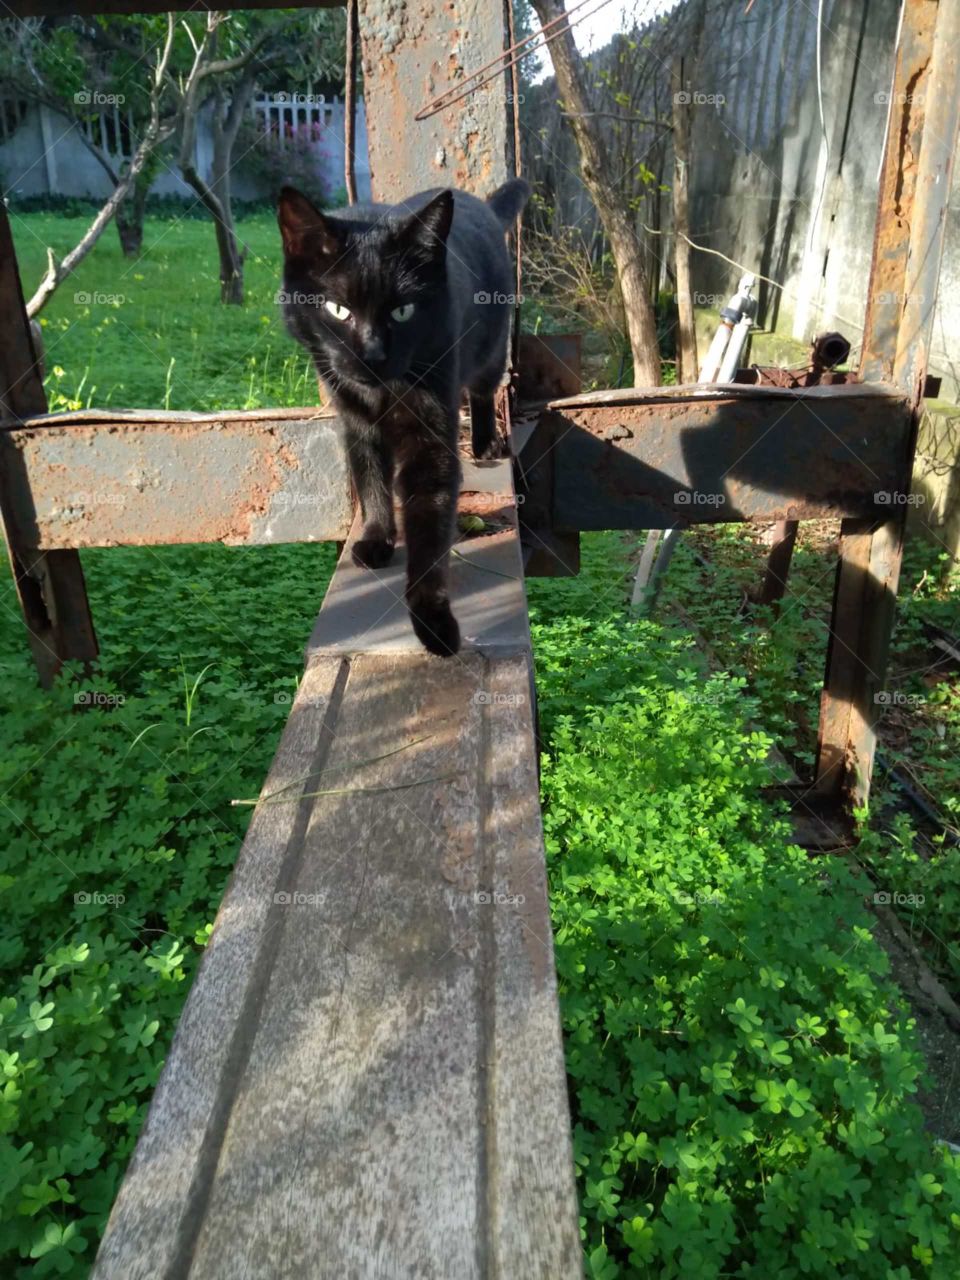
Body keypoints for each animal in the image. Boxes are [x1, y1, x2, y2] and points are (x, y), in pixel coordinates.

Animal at [277, 177, 529, 660]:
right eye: (338, 310)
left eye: (403, 310)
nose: (373, 354)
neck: (380, 391)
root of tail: (481, 204)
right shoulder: (353, 417)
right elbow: (370, 475)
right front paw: (378, 537)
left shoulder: (430, 426)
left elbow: (430, 519)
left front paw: (433, 622)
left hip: (490, 346)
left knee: (484, 389)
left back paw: (486, 443)